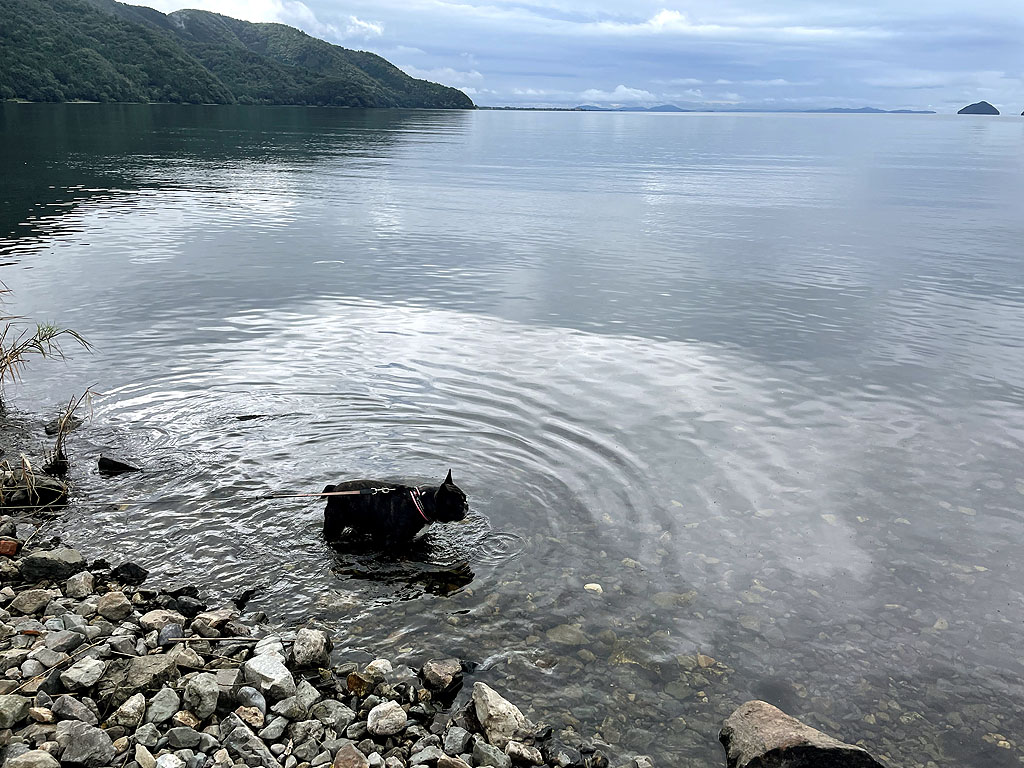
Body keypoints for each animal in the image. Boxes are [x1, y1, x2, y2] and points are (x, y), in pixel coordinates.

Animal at [321, 468, 468, 548]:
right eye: (458, 503)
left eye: (465, 498)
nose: (466, 505)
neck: (421, 503)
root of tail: (334, 489)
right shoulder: (391, 541)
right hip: (334, 523)